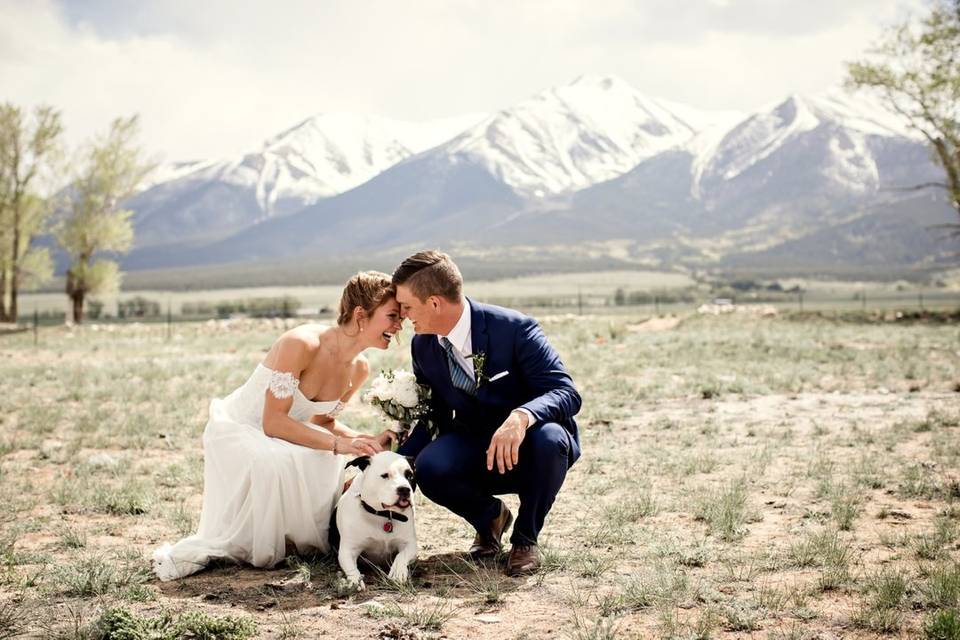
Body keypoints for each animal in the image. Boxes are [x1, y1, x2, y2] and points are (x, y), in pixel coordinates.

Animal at [332, 450, 418, 592]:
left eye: (410, 476)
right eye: (385, 475)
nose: (404, 489)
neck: (383, 515)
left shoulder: (410, 544)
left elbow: (402, 555)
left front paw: (398, 571)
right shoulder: (348, 550)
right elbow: (351, 568)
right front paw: (355, 580)